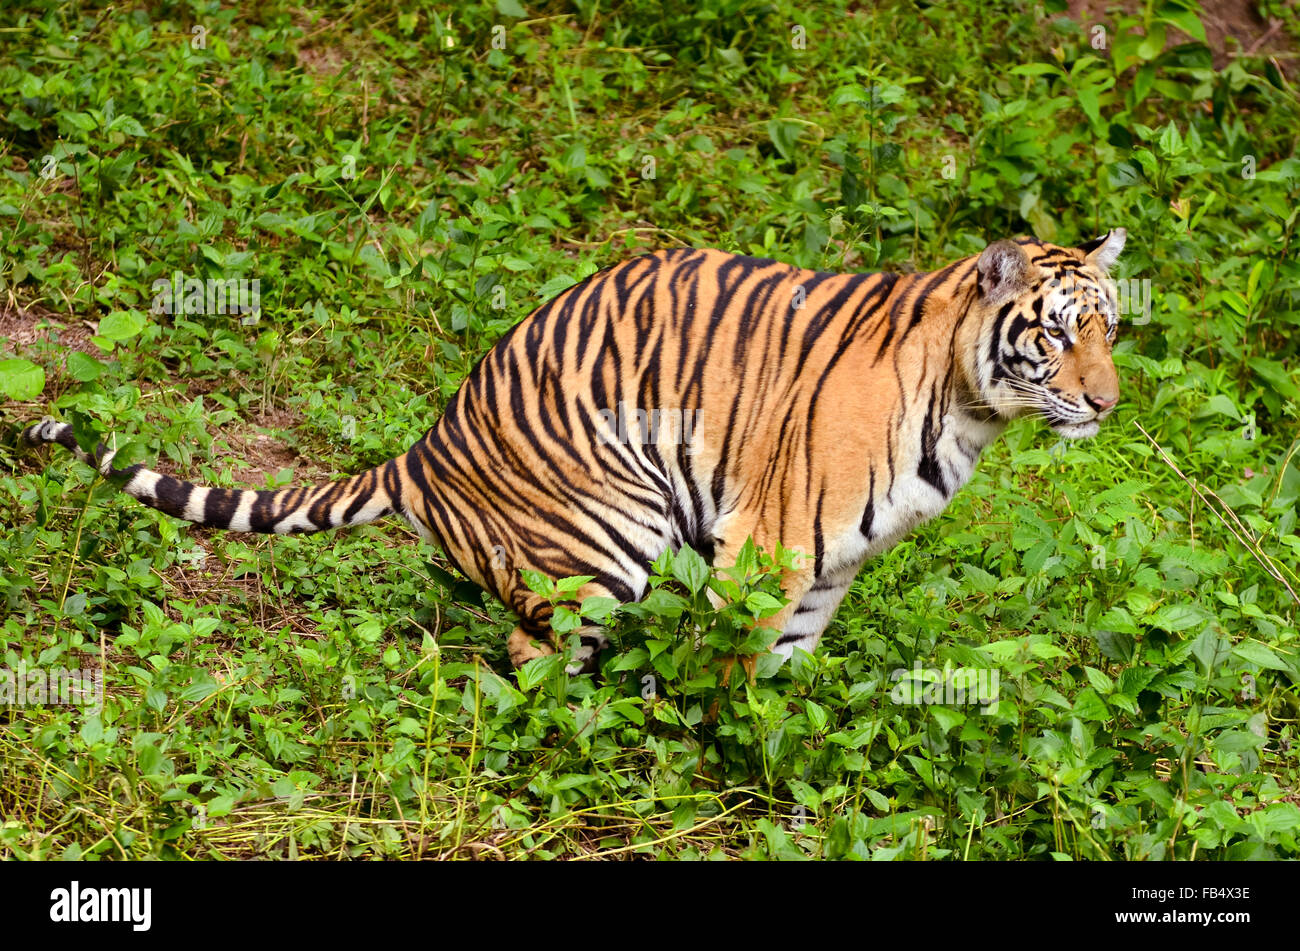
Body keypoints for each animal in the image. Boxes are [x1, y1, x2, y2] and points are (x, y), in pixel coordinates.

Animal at [20, 228, 1123, 675]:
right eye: (1057, 332)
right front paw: (718, 767)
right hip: (611, 532)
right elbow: (734, 671)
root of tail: (422, 447)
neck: (972, 410)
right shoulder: (770, 545)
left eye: (1111, 325)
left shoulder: (831, 563)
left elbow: (787, 674)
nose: (1106, 403)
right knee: (529, 653)